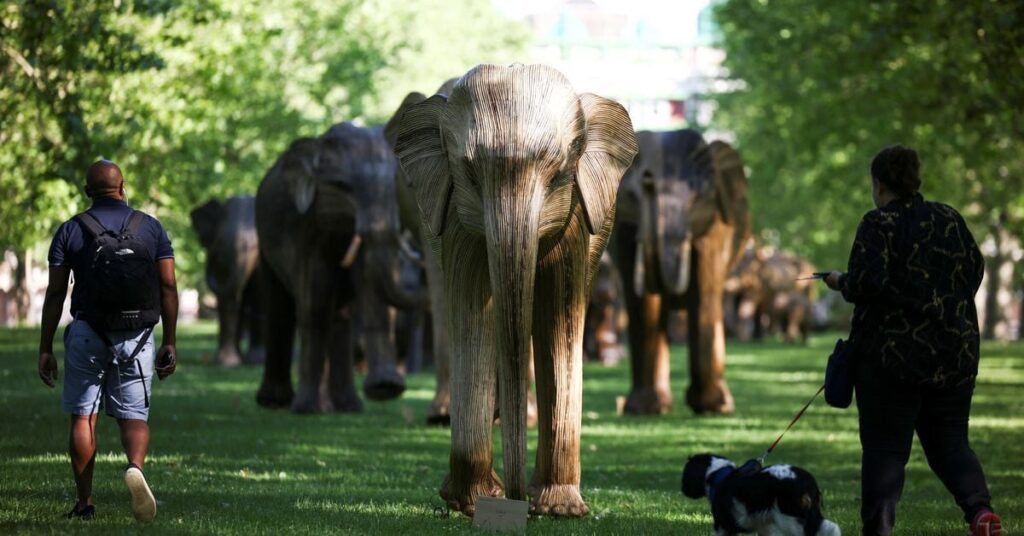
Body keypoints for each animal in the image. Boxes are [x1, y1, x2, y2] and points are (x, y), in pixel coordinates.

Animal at [679, 452, 839, 536]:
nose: (682, 489)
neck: (718, 474)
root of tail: (808, 480)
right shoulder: (765, 527)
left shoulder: (722, 526)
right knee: (830, 527)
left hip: (790, 517)